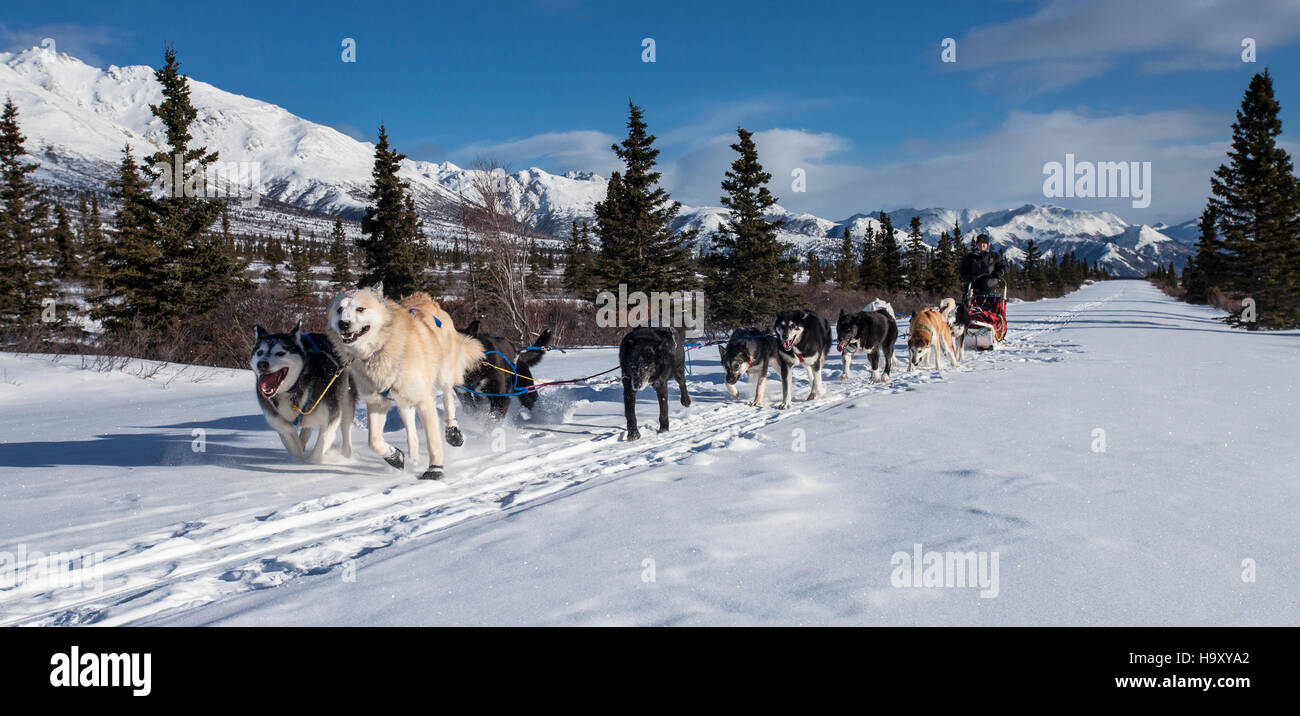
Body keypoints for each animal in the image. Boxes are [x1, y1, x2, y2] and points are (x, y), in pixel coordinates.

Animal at [327, 283, 486, 478]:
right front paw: (395, 456)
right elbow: (373, 441)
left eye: (360, 309)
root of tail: (425, 298)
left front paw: (435, 469)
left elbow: (433, 440)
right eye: (339, 309)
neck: (379, 349)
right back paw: (413, 458)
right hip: (404, 402)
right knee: (411, 431)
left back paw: (453, 432)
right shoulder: (377, 402)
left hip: (444, 374)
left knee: (448, 396)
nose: (343, 324)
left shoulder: (424, 400)